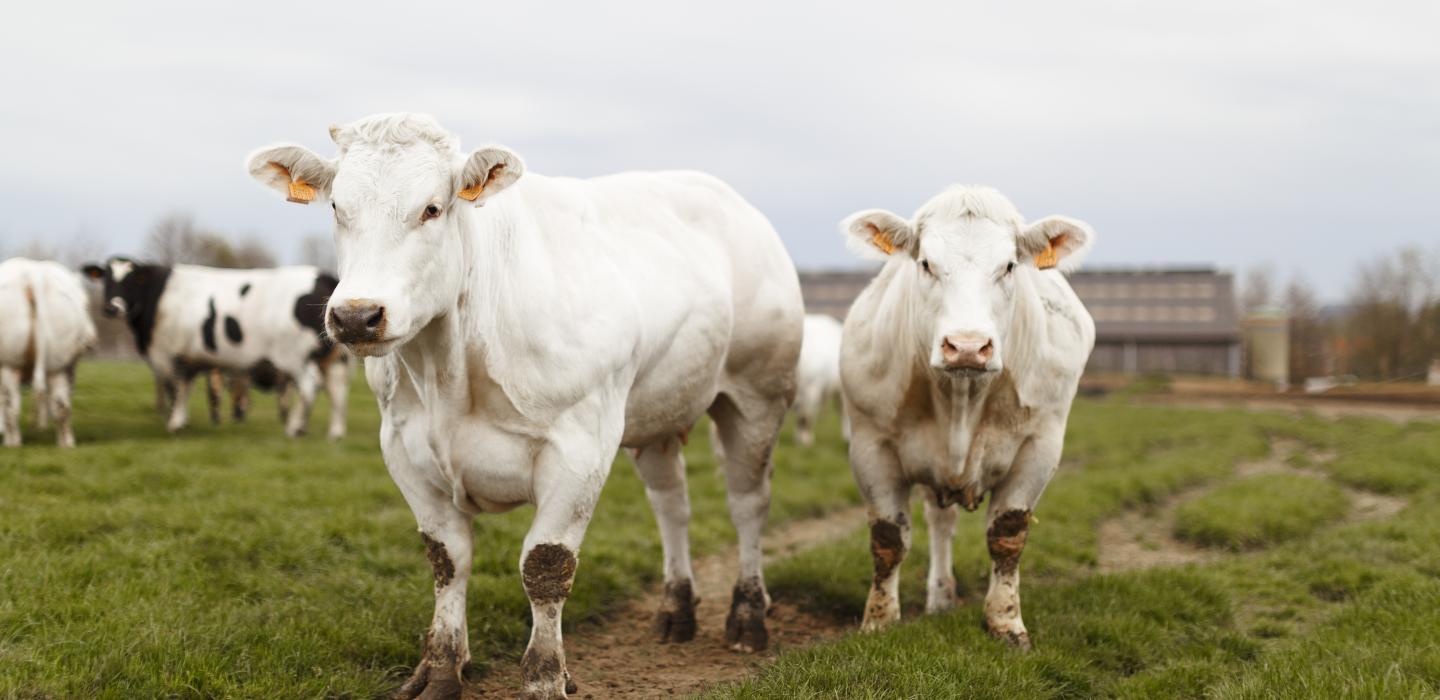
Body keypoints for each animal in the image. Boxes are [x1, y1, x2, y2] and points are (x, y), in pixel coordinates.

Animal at [0, 257, 97, 449]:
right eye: (86, 305)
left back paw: (12, 443)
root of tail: (32, 273)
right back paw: (66, 444)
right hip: (58, 365)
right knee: (61, 405)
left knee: (10, 407)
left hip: (10, 363)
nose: (91, 340)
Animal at [82, 256, 349, 437]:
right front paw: (182, 421)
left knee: (309, 387)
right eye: (106, 278)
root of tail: (323, 276)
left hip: (295, 357)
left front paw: (174, 423)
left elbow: (176, 390)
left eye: (131, 280)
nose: (112, 307)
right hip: (333, 358)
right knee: (337, 391)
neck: (159, 297)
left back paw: (295, 428)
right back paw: (334, 433)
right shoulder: (189, 359)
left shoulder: (170, 355)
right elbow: (185, 388)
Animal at [244, 112, 800, 697]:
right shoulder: (402, 448)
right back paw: (676, 610)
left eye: (432, 208)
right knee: (672, 504)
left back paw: (747, 616)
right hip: (657, 415)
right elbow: (448, 560)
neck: (450, 374)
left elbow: (545, 565)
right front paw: (441, 668)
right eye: (336, 207)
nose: (356, 316)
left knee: (747, 503)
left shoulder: (579, 449)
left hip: (757, 398)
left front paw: (544, 676)